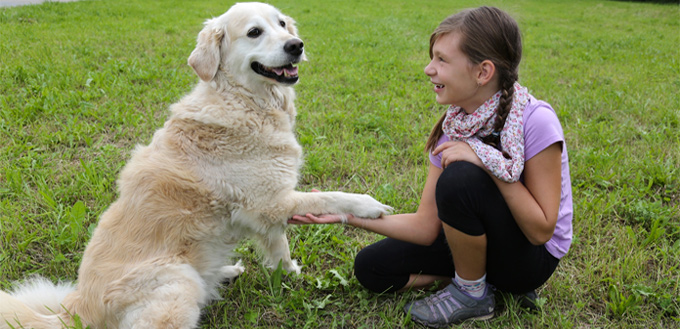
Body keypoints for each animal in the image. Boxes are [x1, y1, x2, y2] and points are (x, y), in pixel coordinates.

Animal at [0, 3, 390, 328]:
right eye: (254, 32)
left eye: (281, 24)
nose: (296, 45)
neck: (244, 101)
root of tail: (77, 310)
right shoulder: (269, 202)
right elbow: (329, 197)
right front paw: (369, 206)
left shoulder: (267, 210)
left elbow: (280, 246)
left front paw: (290, 273)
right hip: (178, 281)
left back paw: (226, 271)